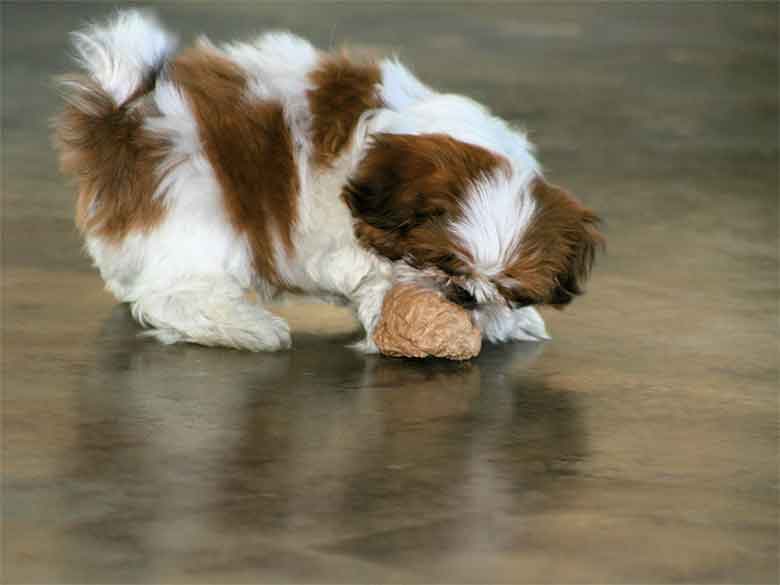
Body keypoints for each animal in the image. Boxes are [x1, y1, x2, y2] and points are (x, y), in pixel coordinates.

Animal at [54, 10, 604, 352]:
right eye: (444, 261)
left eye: (511, 289)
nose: (464, 295)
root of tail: (120, 120)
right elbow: (364, 270)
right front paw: (383, 304)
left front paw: (511, 322)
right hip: (197, 204)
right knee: (166, 294)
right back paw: (245, 327)